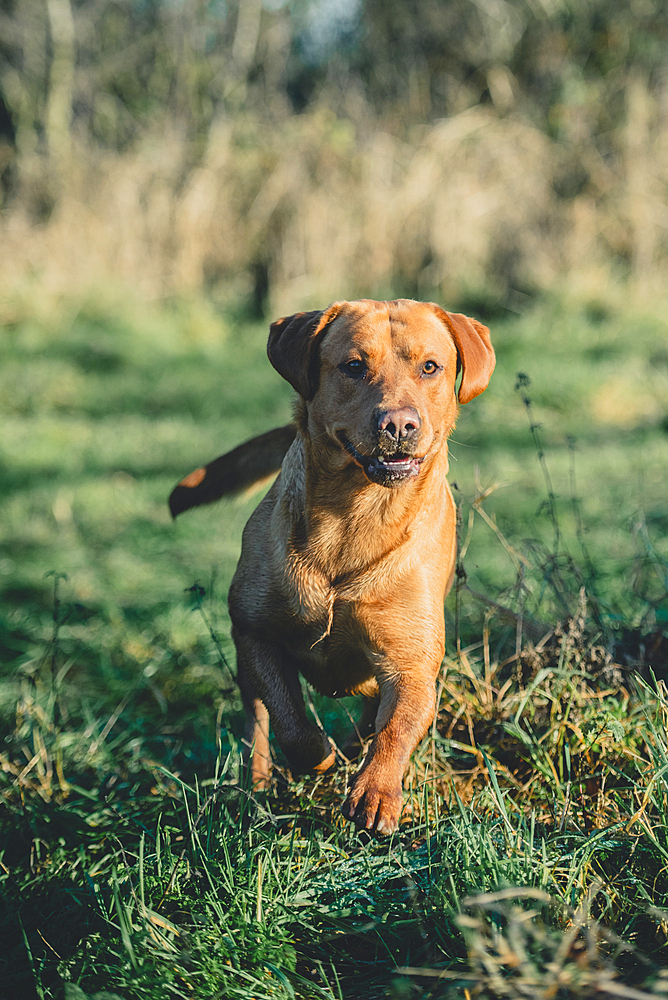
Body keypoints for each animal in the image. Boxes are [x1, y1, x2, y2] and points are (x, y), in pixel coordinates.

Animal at [170, 298, 494, 836]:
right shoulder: (254, 633)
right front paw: (320, 757)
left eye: (430, 367)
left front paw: (376, 793)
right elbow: (290, 720)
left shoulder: (412, 663)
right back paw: (256, 787)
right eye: (354, 366)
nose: (399, 424)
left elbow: (396, 729)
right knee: (257, 725)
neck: (353, 516)